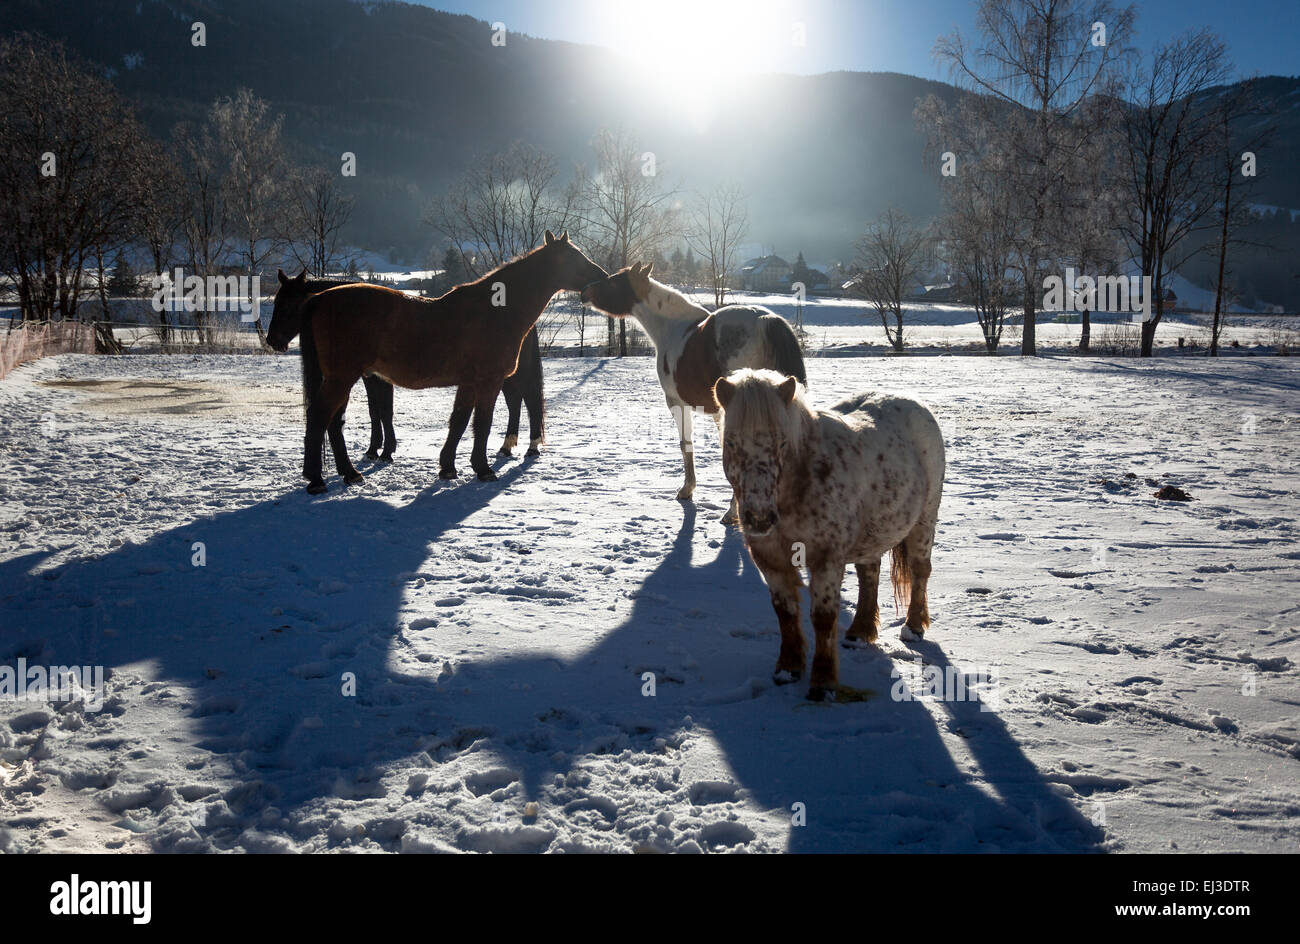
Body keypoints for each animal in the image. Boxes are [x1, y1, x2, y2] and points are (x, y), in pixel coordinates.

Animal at [268, 272, 548, 462]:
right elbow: (376, 411)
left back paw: (528, 445)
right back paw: (509, 445)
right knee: (516, 402)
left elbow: (383, 411)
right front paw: (377, 448)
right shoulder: (373, 377)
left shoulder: (378, 378)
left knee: (526, 400)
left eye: (287, 305)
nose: (272, 340)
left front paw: (384, 450)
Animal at [580, 262, 805, 523]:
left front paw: (687, 490)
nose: (584, 292)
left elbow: (686, 444)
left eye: (614, 281)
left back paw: (732, 513)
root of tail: (764, 320)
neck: (672, 328)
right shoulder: (718, 411)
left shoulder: (677, 403)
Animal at [712, 368, 945, 702]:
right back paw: (860, 632)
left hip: (924, 520)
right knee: (869, 574)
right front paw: (788, 669)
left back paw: (913, 628)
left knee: (919, 571)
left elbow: (823, 618)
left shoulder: (826, 559)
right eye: (730, 441)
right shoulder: (770, 560)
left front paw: (822, 684)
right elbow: (785, 612)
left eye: (782, 443)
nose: (759, 518)